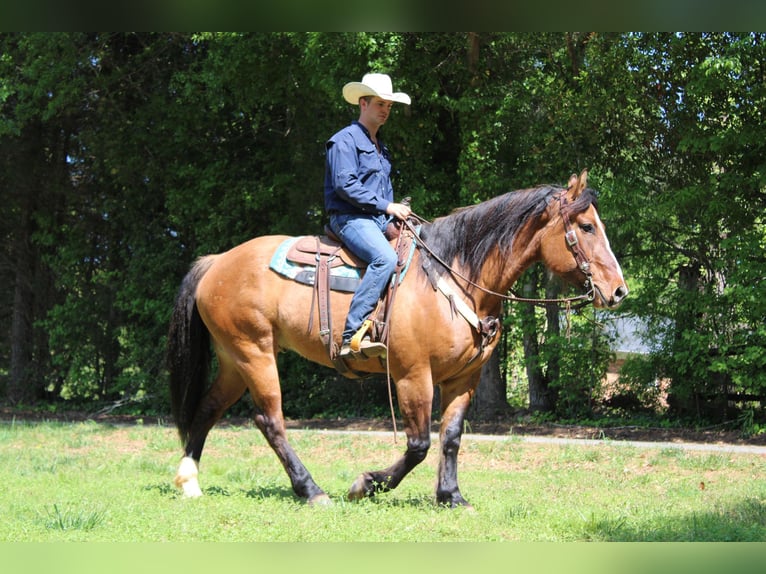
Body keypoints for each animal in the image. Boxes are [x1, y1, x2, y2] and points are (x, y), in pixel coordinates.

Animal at [168, 170, 632, 508]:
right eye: (587, 226)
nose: (618, 291)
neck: (454, 276)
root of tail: (217, 262)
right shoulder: (412, 375)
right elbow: (419, 444)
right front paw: (366, 484)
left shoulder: (463, 379)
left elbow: (451, 438)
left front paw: (451, 497)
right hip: (255, 353)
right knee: (270, 421)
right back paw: (312, 491)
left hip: (235, 359)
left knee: (208, 408)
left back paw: (189, 481)